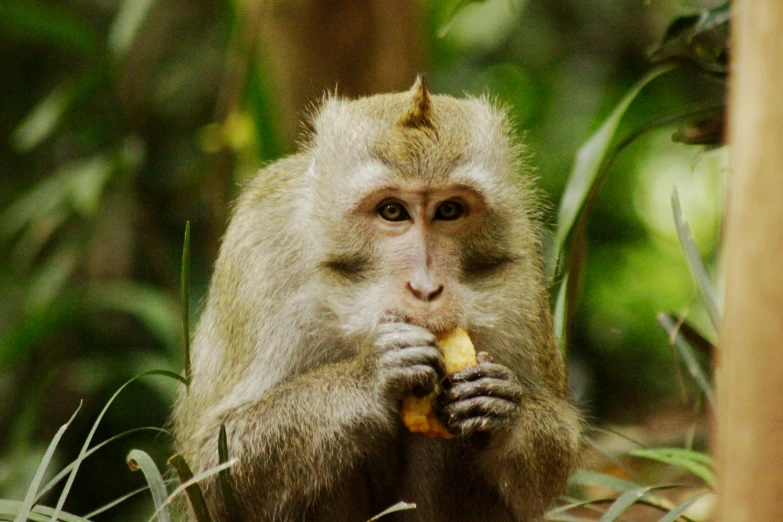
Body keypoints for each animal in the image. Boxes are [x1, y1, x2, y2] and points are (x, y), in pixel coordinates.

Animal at [175, 77, 584, 520]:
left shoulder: (519, 269)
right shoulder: (261, 249)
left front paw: (502, 406)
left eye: (449, 210)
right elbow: (210, 472)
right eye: (392, 211)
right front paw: (372, 375)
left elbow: (552, 462)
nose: (426, 288)